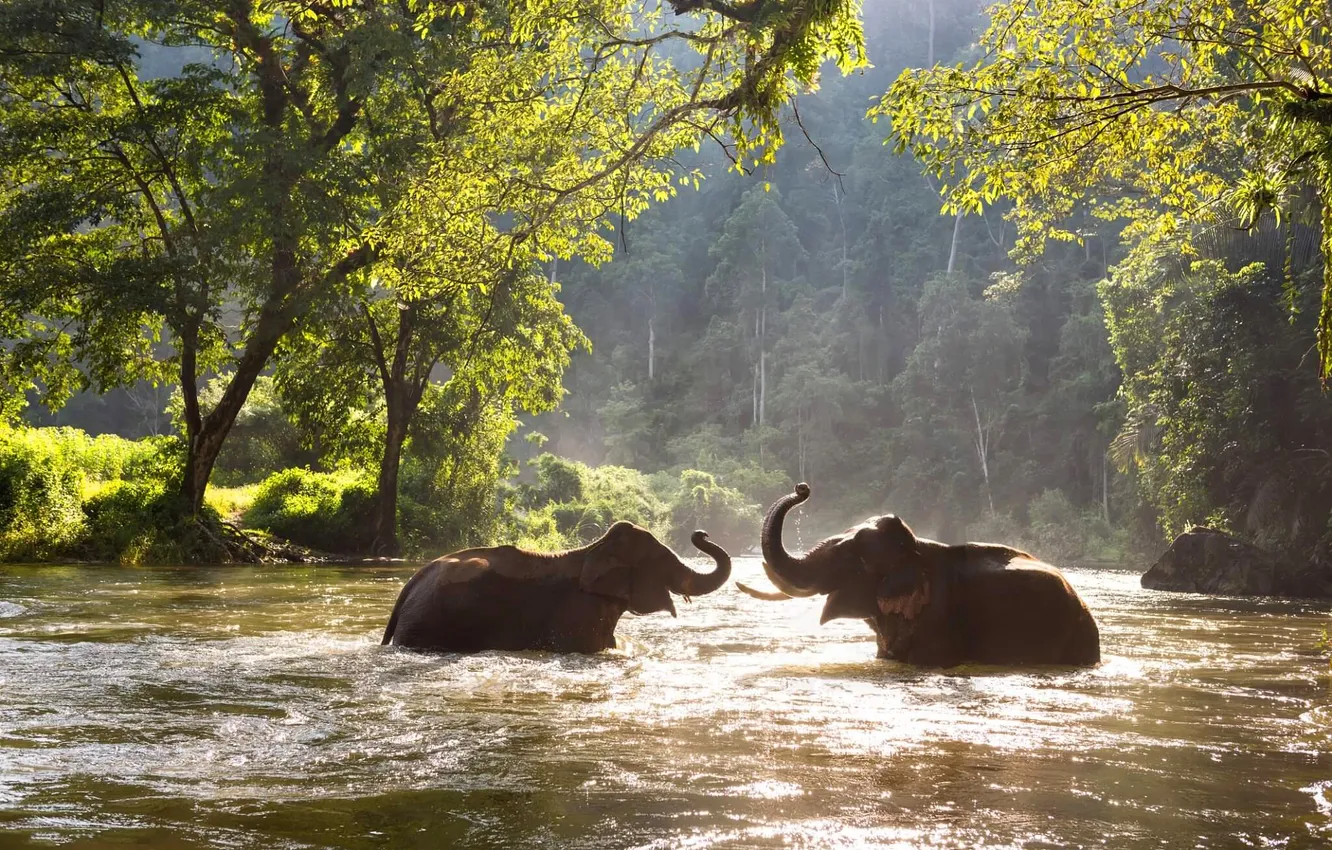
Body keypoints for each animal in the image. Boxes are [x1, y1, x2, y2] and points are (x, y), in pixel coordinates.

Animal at [381, 522, 731, 653]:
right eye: (660, 560)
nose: (702, 532)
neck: (594, 549)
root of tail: (411, 584)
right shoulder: (578, 614)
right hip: (428, 623)